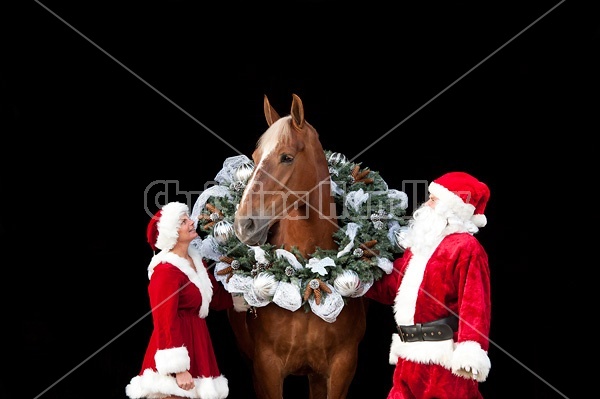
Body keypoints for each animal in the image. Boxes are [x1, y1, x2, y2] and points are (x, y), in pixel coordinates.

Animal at [231, 94, 368, 399]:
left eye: (287, 157)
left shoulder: (341, 369)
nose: (244, 224)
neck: (308, 280)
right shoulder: (266, 370)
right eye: (255, 158)